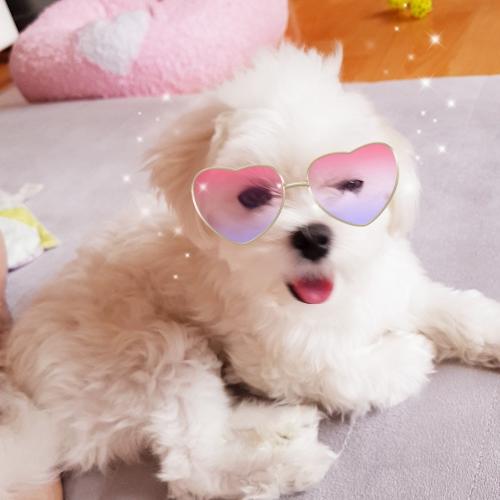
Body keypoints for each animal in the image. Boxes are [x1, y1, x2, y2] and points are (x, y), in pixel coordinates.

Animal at [2, 43, 500, 499]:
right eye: (253, 196)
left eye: (351, 183)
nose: (313, 236)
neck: (333, 294)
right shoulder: (280, 353)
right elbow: (342, 372)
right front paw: (407, 356)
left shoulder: (392, 290)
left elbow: (452, 308)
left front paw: (485, 331)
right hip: (154, 351)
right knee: (192, 465)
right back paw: (289, 464)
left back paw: (279, 421)